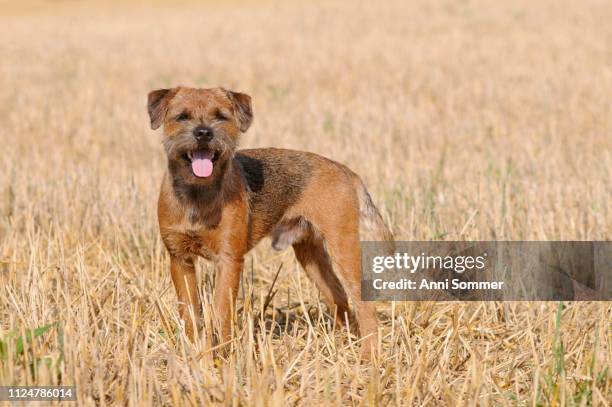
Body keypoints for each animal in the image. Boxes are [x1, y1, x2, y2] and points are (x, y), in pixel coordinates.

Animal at [148, 85, 392, 356]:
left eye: (220, 116)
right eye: (182, 117)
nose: (203, 133)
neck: (198, 194)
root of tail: (345, 171)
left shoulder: (229, 260)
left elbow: (222, 311)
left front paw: (222, 354)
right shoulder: (180, 260)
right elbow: (189, 311)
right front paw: (194, 351)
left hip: (343, 248)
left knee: (363, 303)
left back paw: (369, 354)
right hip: (311, 256)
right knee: (338, 296)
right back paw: (343, 343)